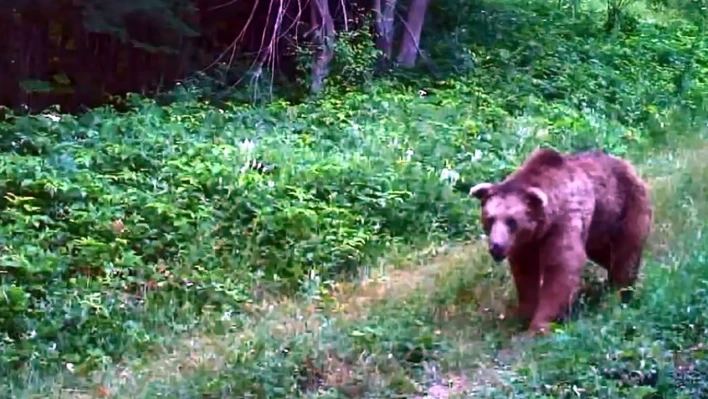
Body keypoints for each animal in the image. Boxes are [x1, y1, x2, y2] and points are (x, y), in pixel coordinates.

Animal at [468, 147, 656, 334]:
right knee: (608, 256)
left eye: (511, 221)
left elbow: (561, 267)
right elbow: (525, 272)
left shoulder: (564, 221)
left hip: (626, 210)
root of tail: (628, 166)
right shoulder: (526, 243)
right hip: (598, 230)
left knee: (625, 257)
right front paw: (525, 313)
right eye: (490, 218)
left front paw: (539, 326)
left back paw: (620, 296)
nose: (496, 246)